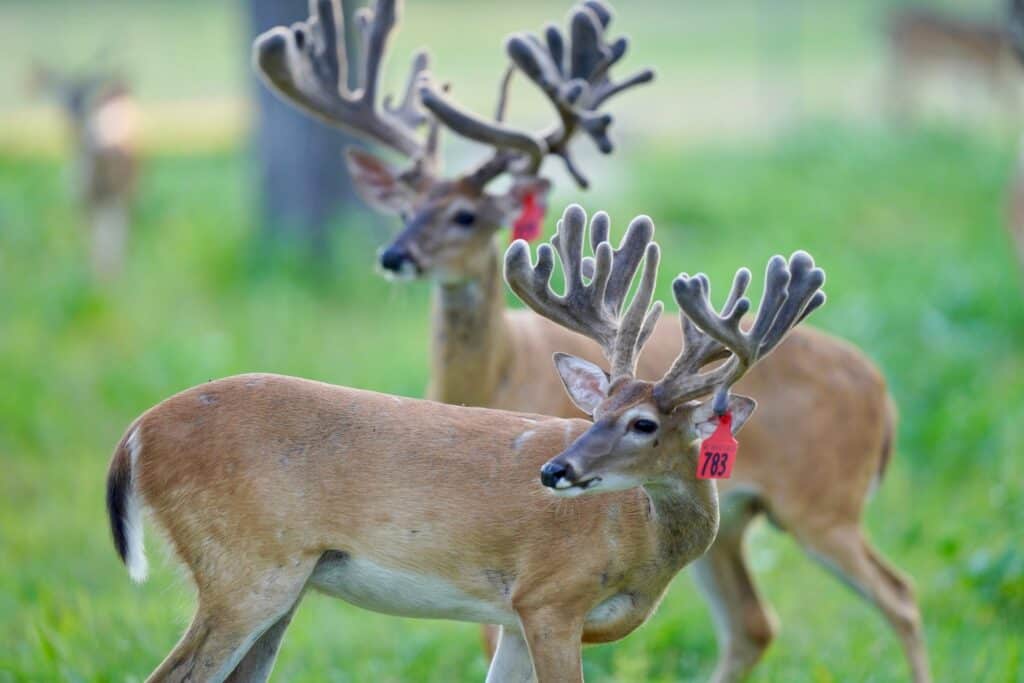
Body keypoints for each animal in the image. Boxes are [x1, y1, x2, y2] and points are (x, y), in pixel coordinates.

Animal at [30, 65, 139, 280]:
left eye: (89, 91)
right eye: (61, 93)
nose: (75, 112)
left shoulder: (110, 195)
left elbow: (109, 239)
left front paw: (108, 277)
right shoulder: (83, 203)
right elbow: (93, 242)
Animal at [106, 204, 824, 682]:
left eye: (643, 422)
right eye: (598, 410)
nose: (556, 470)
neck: (640, 545)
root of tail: (135, 434)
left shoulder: (511, 618)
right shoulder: (549, 596)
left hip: (280, 586)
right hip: (244, 566)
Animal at [253, 1, 930, 681]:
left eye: (467, 216)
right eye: (403, 209)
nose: (395, 256)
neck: (492, 375)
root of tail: (884, 393)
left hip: (825, 503)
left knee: (901, 595)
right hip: (742, 519)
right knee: (754, 623)